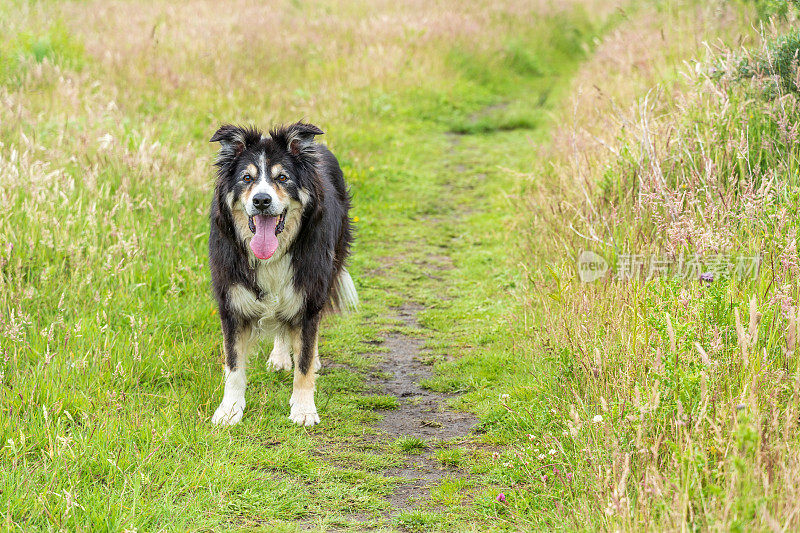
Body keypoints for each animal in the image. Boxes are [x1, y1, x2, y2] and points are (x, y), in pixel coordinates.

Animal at [208, 122, 354, 426]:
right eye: (247, 178)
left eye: (283, 177)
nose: (262, 200)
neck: (273, 254)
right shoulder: (231, 302)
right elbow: (233, 363)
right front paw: (229, 410)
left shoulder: (309, 295)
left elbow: (305, 360)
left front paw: (303, 409)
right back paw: (279, 356)